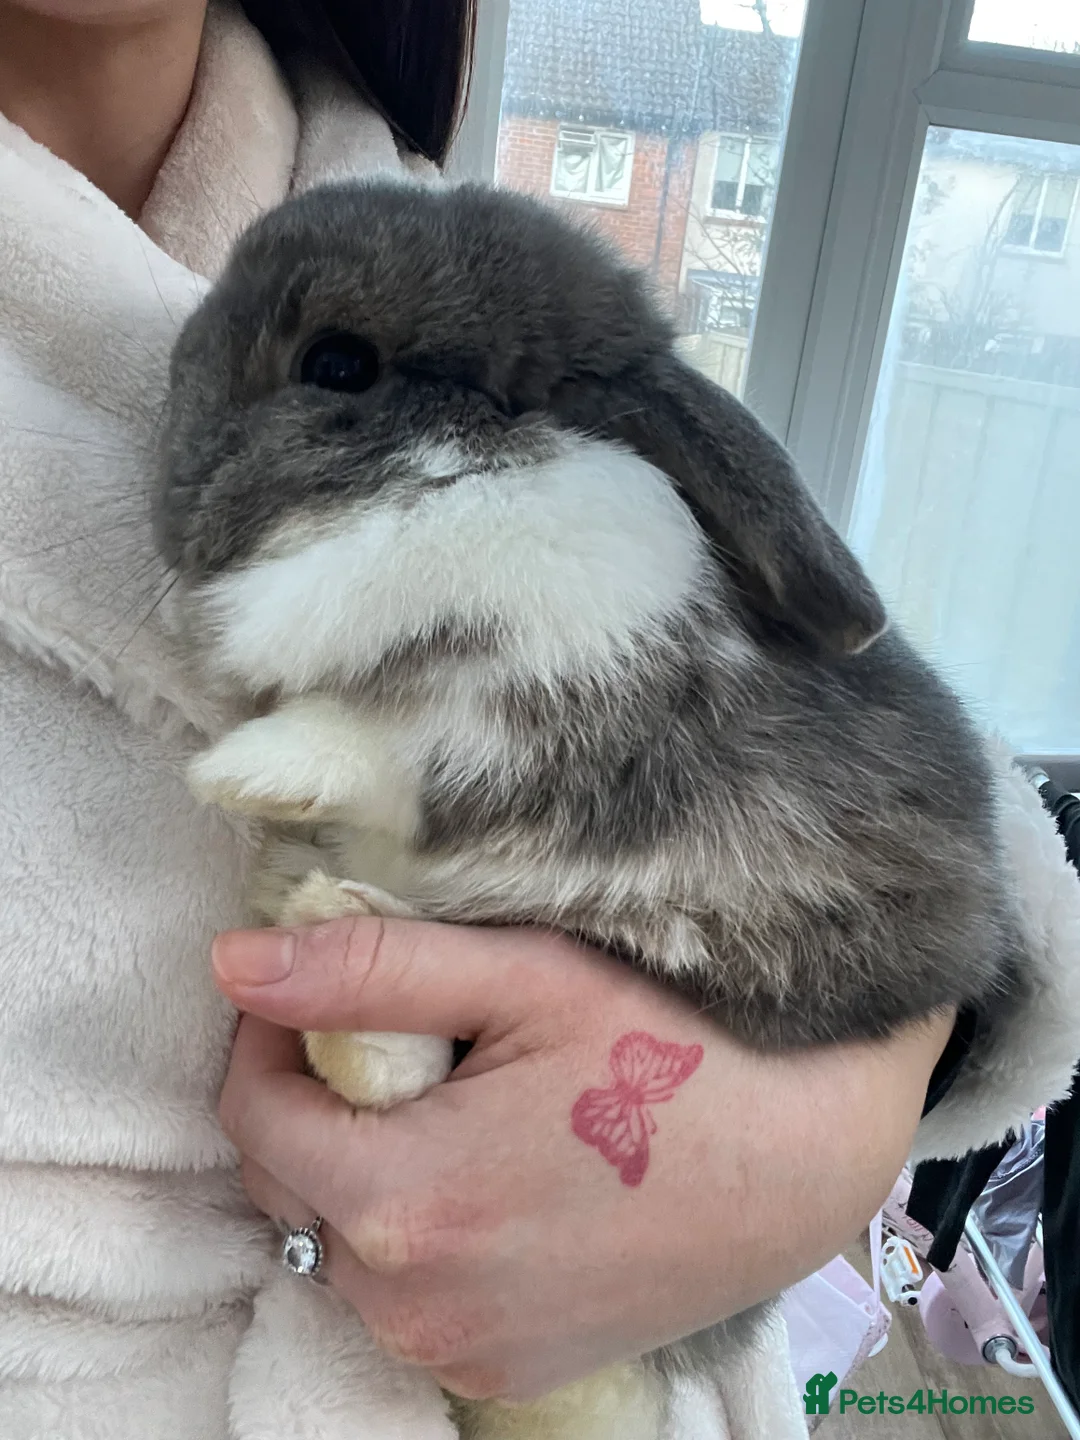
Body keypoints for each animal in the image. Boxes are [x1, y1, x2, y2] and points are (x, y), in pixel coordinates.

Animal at [152, 177, 1026, 1440]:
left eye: (339, 362)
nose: (171, 496)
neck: (458, 478)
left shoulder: (577, 712)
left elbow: (396, 746)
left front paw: (247, 766)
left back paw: (331, 936)